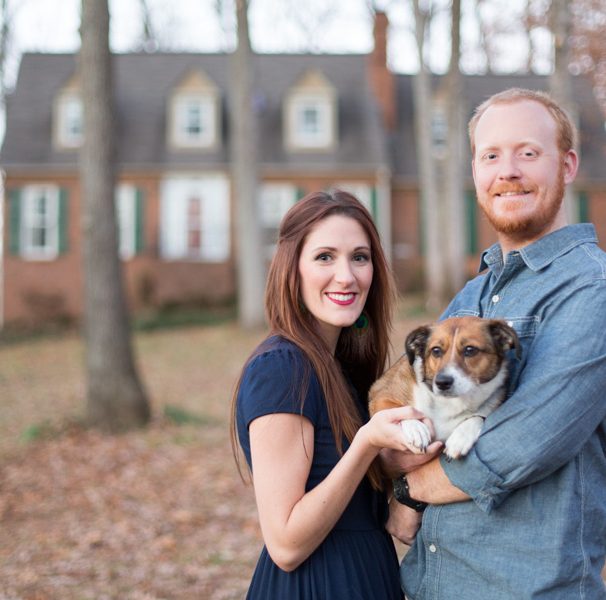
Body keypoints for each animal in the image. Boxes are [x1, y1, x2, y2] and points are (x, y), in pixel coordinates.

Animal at [370, 316, 524, 462]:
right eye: (436, 350)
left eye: (470, 350)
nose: (442, 382)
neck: (448, 403)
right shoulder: (380, 396)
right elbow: (398, 409)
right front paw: (416, 428)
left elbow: (479, 417)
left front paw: (461, 437)